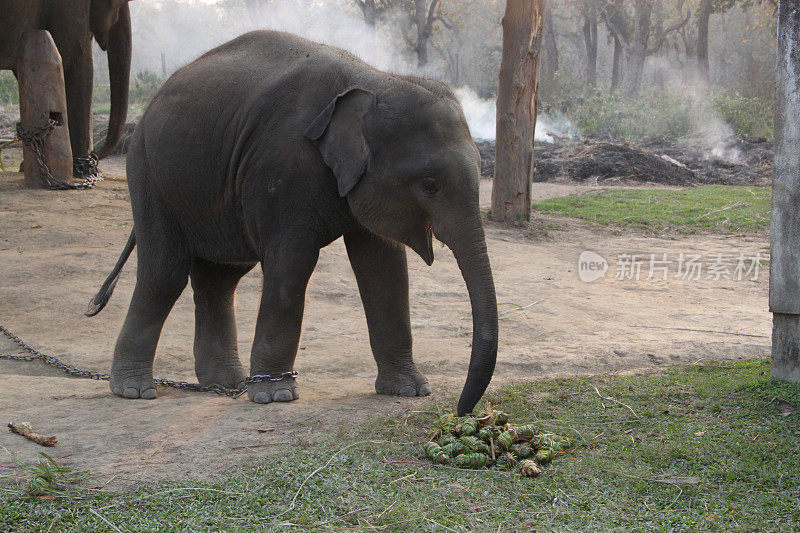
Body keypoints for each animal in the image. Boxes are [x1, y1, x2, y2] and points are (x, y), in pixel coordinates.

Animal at [90, 31, 496, 416]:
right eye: (429, 185)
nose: (461, 411)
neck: (375, 80)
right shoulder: (282, 169)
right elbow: (293, 262)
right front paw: (276, 396)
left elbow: (384, 269)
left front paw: (409, 390)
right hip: (150, 174)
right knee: (165, 273)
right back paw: (134, 391)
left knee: (220, 279)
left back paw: (225, 384)